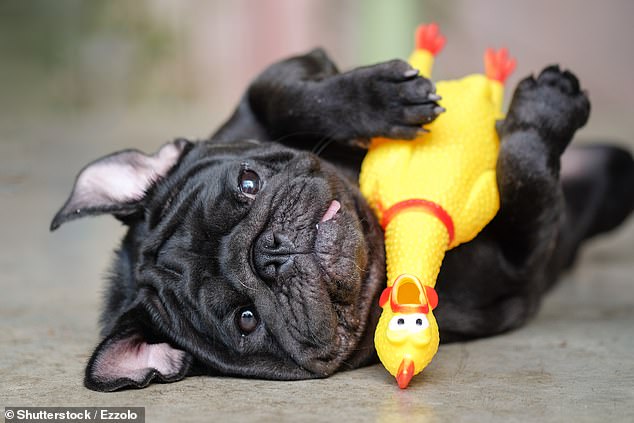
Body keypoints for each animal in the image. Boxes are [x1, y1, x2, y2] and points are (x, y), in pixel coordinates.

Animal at [50, 48, 632, 390]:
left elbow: (281, 93)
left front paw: (382, 97)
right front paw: (544, 114)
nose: (271, 250)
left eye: (248, 184)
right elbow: (527, 175)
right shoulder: (519, 265)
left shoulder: (267, 90)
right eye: (246, 319)